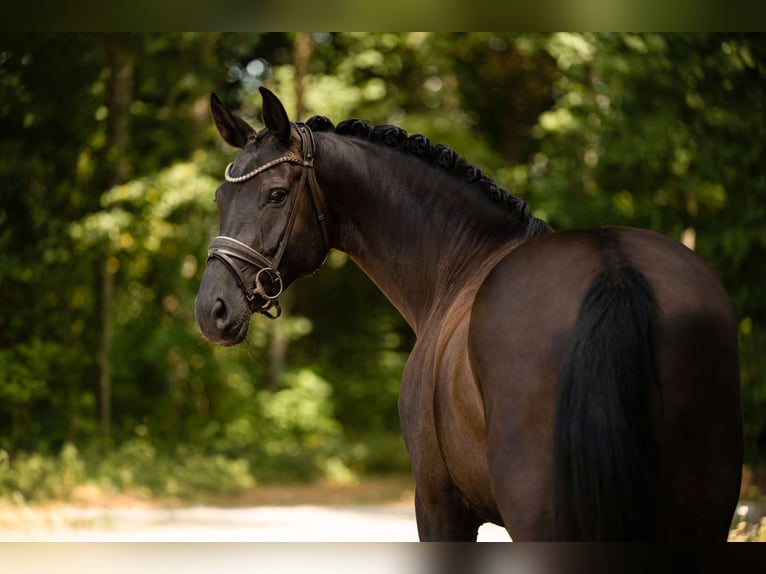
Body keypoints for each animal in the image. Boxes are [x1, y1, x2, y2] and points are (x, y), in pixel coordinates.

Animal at [195, 87, 743, 541]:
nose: (210, 310)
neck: (460, 263)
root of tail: (613, 265)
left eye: (276, 194)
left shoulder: (438, 505)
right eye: (220, 197)